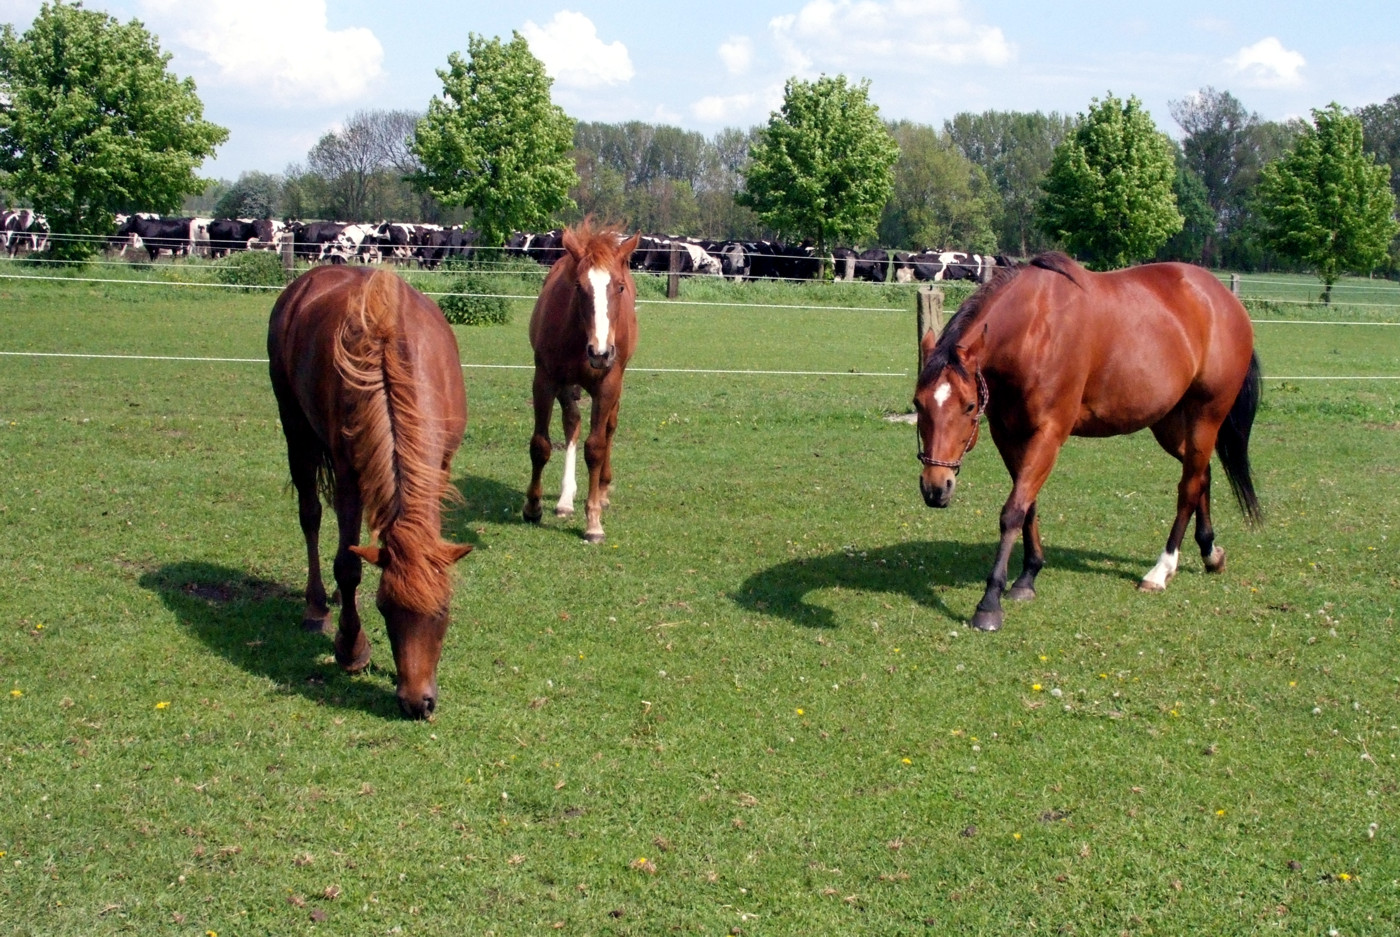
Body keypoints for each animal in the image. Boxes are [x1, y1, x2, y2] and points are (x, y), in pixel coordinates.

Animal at [268, 266, 472, 718]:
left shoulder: (441, 466)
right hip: (296, 430)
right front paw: (351, 649)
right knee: (310, 515)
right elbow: (348, 565)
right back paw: (317, 607)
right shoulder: (348, 476)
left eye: (444, 610)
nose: (417, 703)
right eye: (385, 608)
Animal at [523, 220, 641, 543]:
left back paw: (602, 490)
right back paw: (565, 500)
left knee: (609, 428)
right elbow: (541, 444)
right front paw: (532, 507)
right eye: (578, 286)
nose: (600, 352)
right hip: (566, 385)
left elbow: (596, 447)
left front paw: (594, 522)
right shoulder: (545, 379)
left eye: (619, 286)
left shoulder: (608, 385)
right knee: (572, 422)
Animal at [914, 252, 1262, 632]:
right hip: (1169, 423)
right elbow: (1028, 504)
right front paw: (1027, 577)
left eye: (969, 406)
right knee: (1201, 475)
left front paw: (990, 603)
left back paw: (1161, 570)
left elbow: (1013, 511)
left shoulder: (1048, 435)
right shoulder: (1008, 435)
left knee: (1188, 488)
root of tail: (1225, 301)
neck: (1034, 331)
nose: (936, 488)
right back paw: (1210, 552)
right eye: (918, 403)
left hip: (1205, 417)